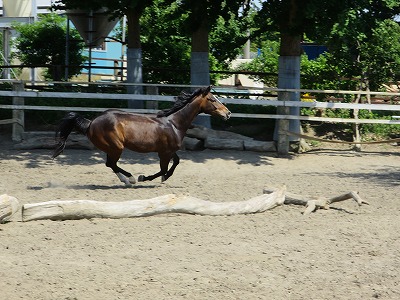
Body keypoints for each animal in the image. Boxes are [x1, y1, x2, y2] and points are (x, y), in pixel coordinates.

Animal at [52, 85, 231, 185]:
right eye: (212, 99)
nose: (228, 113)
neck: (174, 123)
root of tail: (90, 123)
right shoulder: (164, 152)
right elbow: (163, 168)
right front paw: (144, 178)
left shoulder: (169, 150)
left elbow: (176, 163)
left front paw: (164, 178)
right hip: (116, 147)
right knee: (111, 164)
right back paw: (129, 179)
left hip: (112, 148)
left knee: (110, 164)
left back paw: (126, 180)